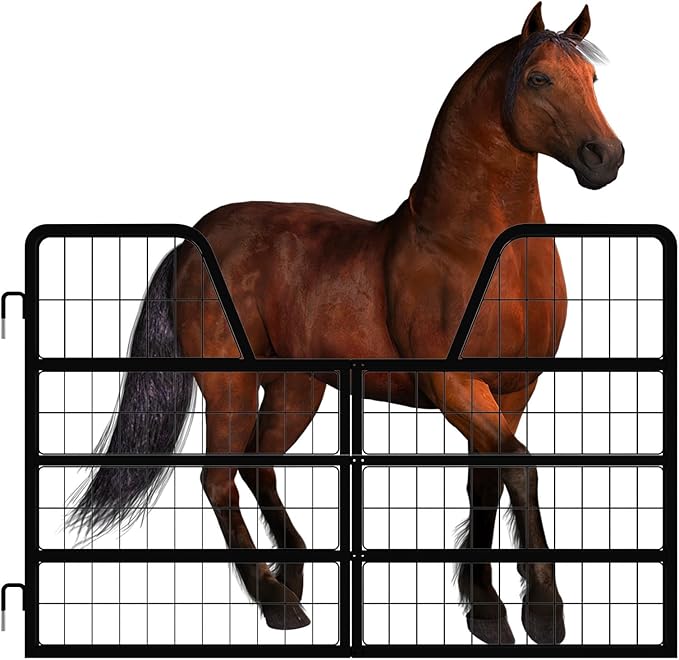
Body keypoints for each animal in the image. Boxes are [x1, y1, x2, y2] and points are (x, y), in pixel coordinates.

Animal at [69, 3, 623, 645]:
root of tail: (194, 242)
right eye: (539, 78)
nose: (606, 157)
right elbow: (522, 469)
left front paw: (484, 608)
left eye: (593, 79)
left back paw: (292, 576)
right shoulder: (455, 386)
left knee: (258, 465)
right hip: (230, 385)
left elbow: (487, 481)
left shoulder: (513, 389)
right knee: (219, 478)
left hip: (296, 388)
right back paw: (275, 602)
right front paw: (541, 611)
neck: (476, 249)